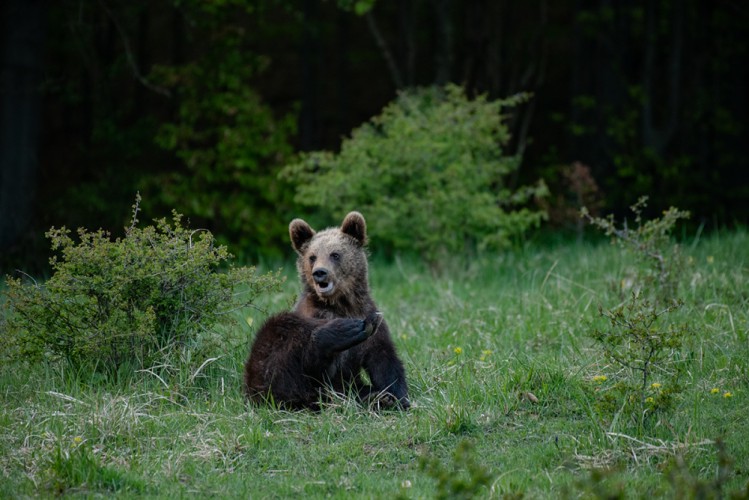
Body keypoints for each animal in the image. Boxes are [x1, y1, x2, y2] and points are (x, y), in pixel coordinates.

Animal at [244, 211, 410, 410]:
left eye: (335, 254)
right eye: (312, 256)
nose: (319, 273)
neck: (340, 304)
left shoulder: (370, 314)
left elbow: (384, 359)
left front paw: (397, 397)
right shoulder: (314, 315)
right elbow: (317, 368)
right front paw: (344, 330)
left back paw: (376, 398)